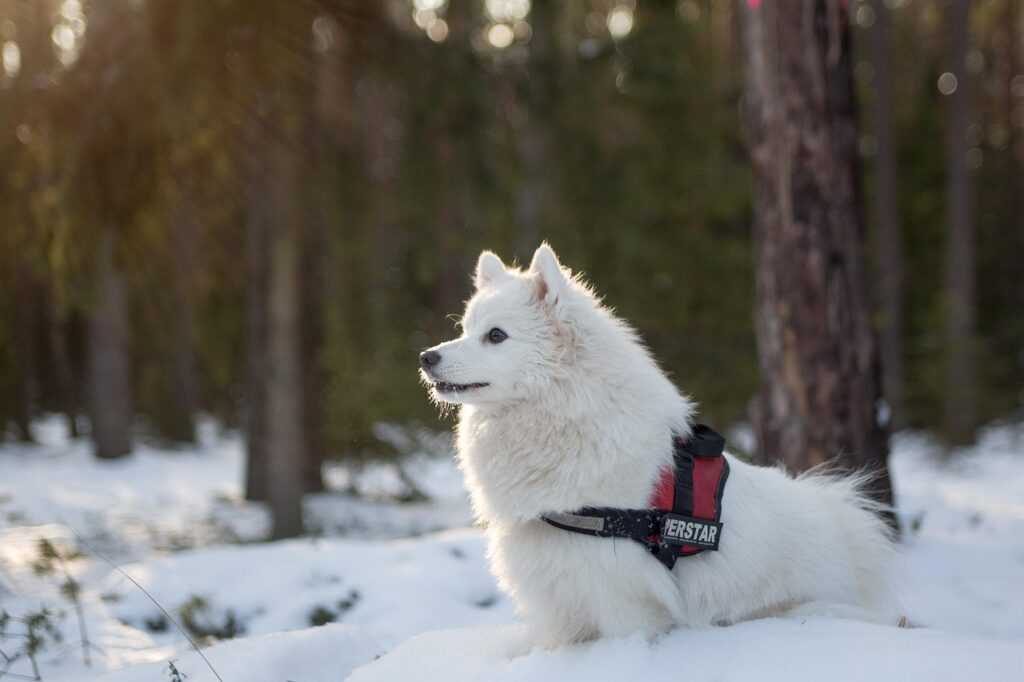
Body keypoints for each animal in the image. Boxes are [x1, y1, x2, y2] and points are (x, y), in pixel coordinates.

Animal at [415, 242, 897, 643]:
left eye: (496, 336)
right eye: (464, 329)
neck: (564, 414)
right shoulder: (558, 595)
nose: (426, 356)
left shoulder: (620, 594)